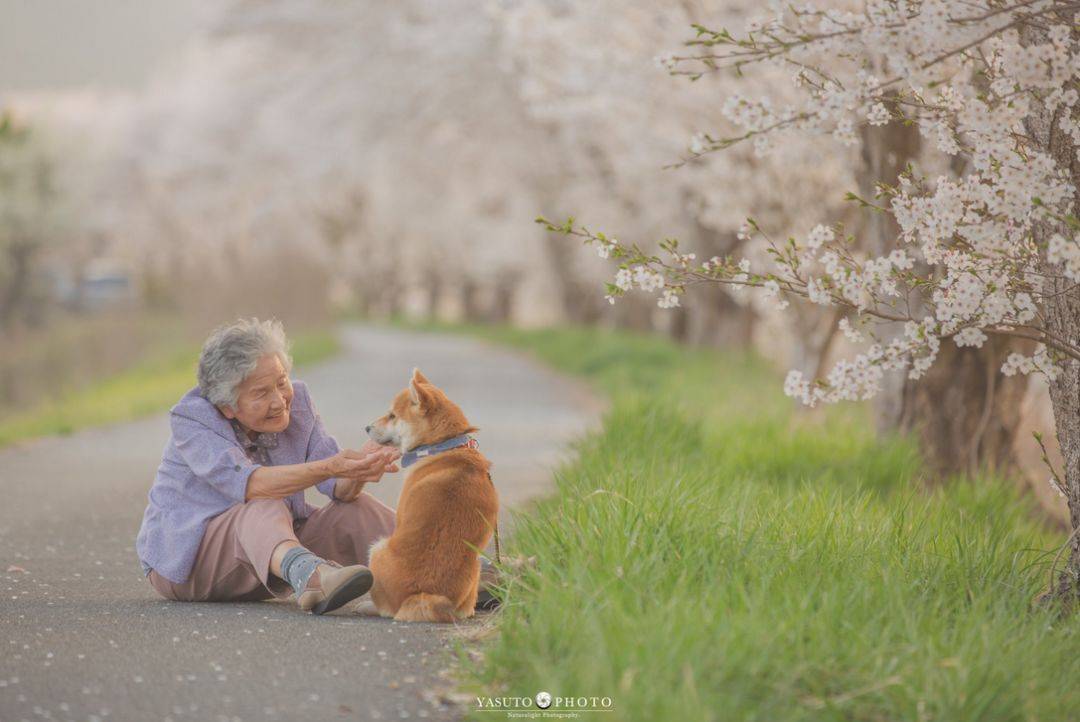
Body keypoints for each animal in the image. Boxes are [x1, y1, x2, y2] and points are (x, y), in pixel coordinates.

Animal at [362, 369, 496, 621]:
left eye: (392, 415)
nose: (366, 427)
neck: (443, 446)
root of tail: (423, 594)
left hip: (376, 548)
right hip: (475, 567)